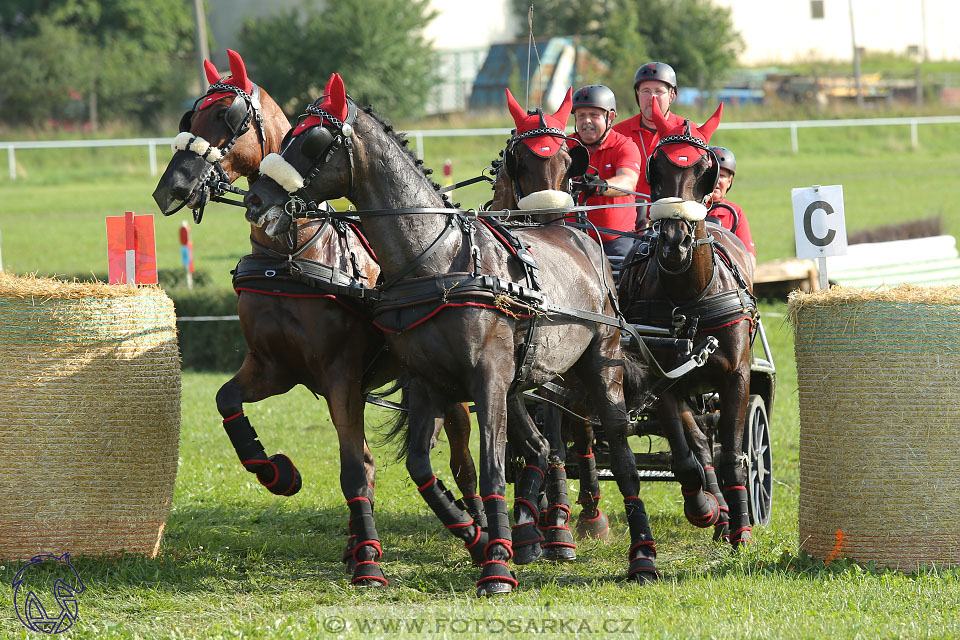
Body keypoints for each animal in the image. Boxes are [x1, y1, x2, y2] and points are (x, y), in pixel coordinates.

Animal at [151, 55, 480, 584]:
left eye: (226, 116)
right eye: (189, 117)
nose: (172, 188)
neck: (290, 256)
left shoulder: (340, 375)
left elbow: (355, 467)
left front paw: (368, 560)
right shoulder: (274, 367)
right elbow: (227, 401)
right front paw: (277, 472)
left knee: (463, 460)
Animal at [244, 75, 656, 596]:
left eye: (313, 141)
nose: (256, 199)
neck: (436, 261)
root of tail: (577, 232)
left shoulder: (487, 380)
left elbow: (493, 469)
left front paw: (496, 565)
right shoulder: (427, 384)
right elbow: (423, 467)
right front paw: (477, 537)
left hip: (600, 367)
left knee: (619, 455)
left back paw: (639, 556)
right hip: (527, 383)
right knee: (543, 447)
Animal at [616, 101, 756, 552]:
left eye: (704, 169)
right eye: (656, 167)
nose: (675, 242)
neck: (689, 298)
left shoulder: (737, 376)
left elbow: (732, 454)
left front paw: (742, 531)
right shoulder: (662, 379)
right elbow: (686, 458)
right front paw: (704, 509)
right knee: (698, 446)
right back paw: (716, 509)